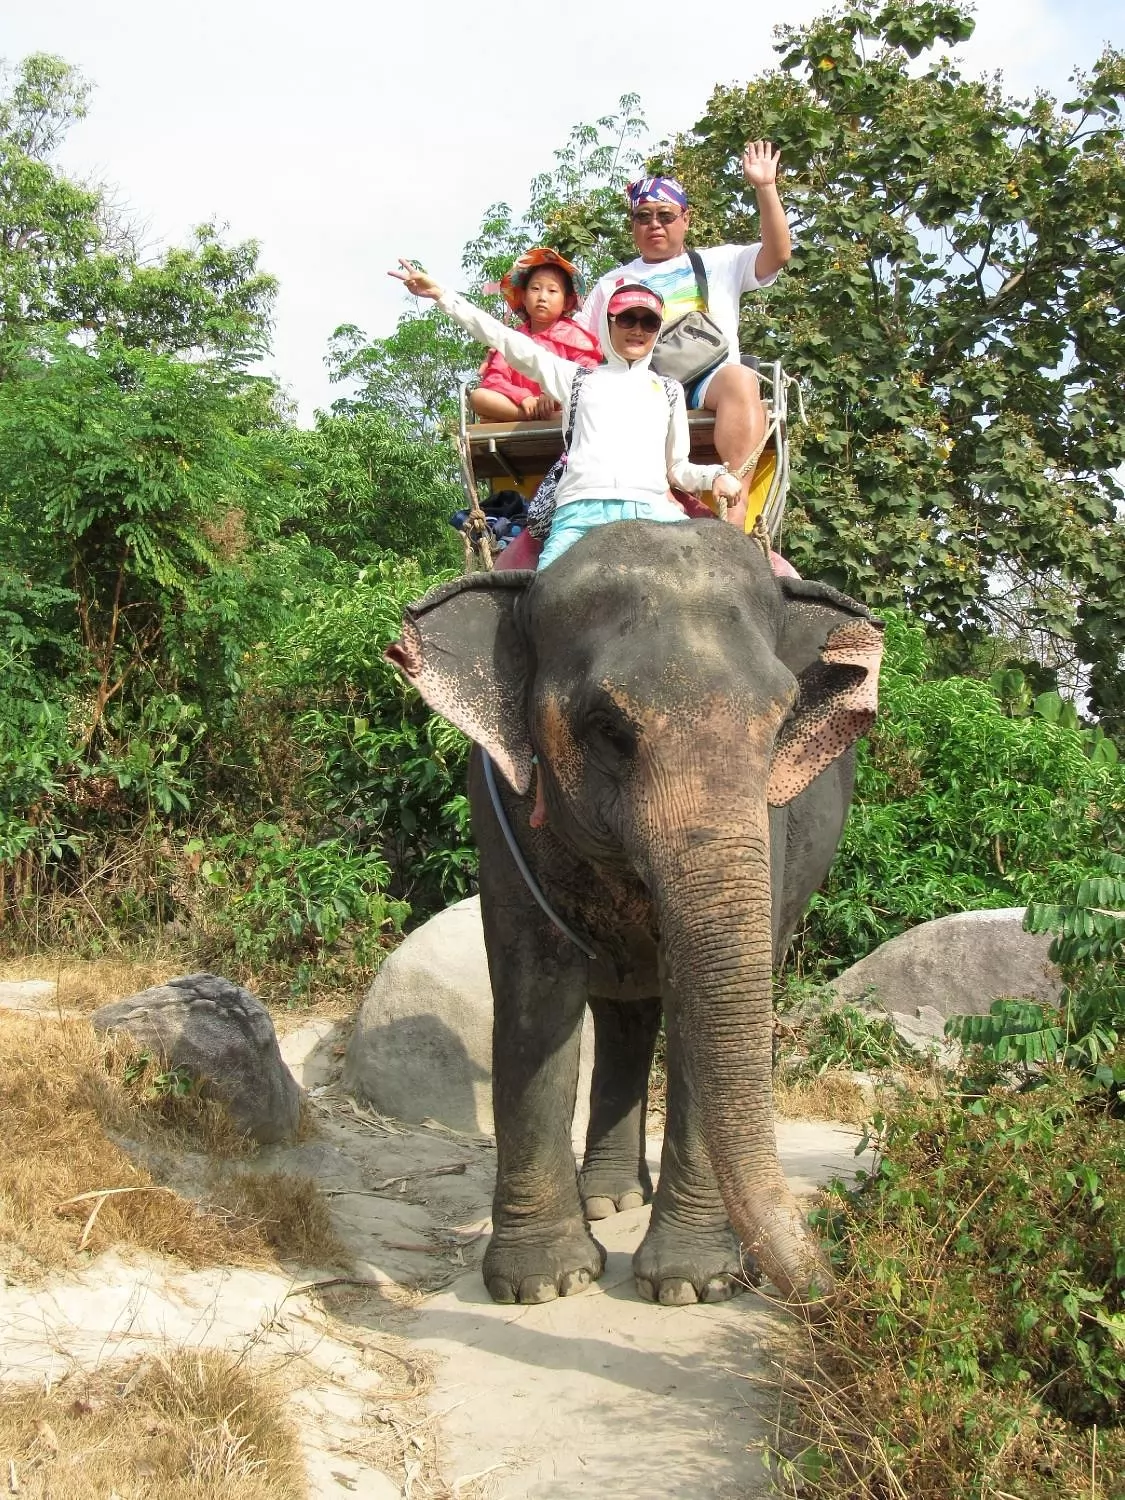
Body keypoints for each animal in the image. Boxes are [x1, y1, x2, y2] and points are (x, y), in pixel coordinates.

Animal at [386, 520, 884, 1309]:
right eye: (608, 730)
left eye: (779, 724)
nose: (834, 1288)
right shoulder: (500, 806)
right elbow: (533, 994)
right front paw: (544, 1284)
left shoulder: (770, 824)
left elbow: (698, 1003)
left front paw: (691, 1284)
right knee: (620, 1015)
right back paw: (609, 1201)